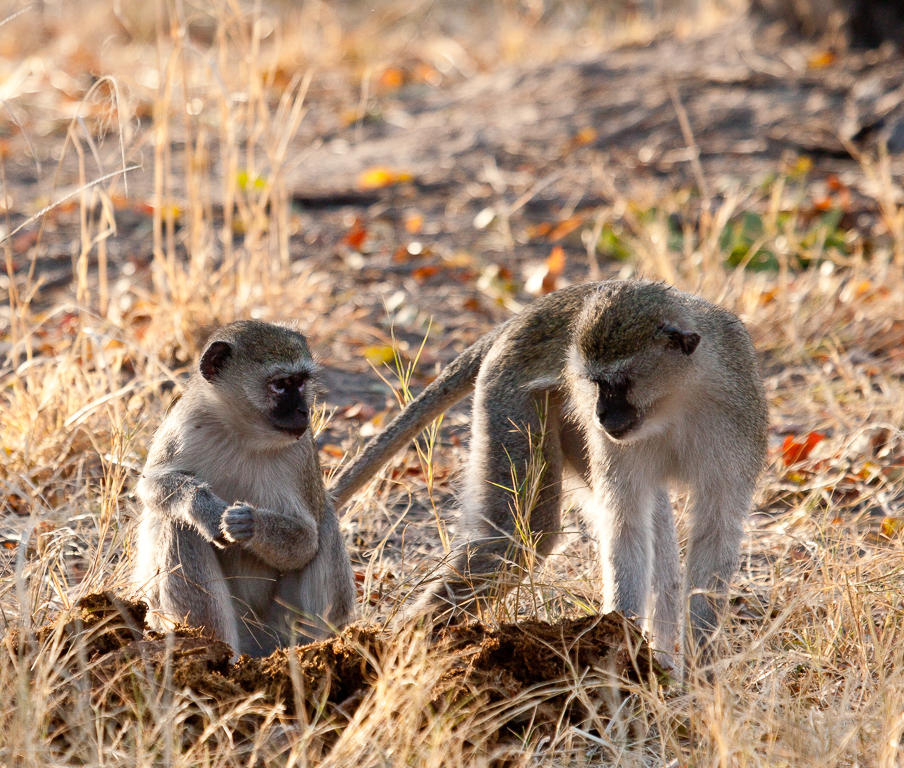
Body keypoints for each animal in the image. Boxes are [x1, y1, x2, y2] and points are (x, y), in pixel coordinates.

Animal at [133, 320, 356, 656]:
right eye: (281, 385)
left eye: (301, 382)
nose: (304, 412)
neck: (243, 432)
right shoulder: (185, 423)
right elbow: (150, 485)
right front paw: (204, 509)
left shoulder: (301, 452)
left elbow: (305, 541)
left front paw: (248, 523)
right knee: (179, 525)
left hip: (282, 624)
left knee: (325, 521)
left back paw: (315, 650)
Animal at [336, 280, 768, 664]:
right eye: (597, 384)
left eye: (621, 383)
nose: (601, 414)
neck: (676, 398)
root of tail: (521, 319)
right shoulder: (612, 441)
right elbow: (625, 528)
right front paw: (624, 648)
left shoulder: (738, 420)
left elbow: (714, 532)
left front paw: (698, 675)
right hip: (512, 397)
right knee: (522, 535)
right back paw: (401, 643)